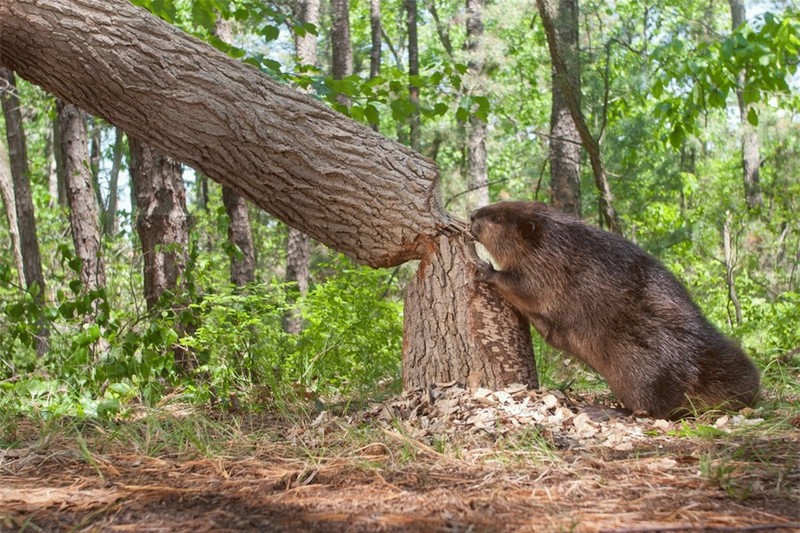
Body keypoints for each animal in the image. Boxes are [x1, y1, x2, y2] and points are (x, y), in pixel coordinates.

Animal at [468, 201, 764, 420]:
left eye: (497, 219)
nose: (472, 214)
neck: (553, 240)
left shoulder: (548, 268)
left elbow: (524, 287)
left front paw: (484, 268)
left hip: (639, 369)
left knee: (650, 410)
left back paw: (601, 410)